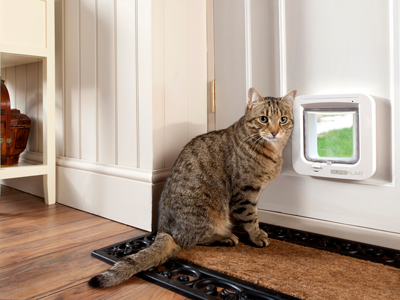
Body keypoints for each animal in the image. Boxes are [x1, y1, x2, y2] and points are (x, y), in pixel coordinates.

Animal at [89, 87, 296, 288]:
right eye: (263, 119)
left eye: (283, 120)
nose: (275, 132)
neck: (273, 151)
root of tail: (162, 227)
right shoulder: (245, 192)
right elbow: (251, 218)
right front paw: (256, 235)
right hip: (206, 211)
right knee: (190, 239)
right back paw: (225, 237)